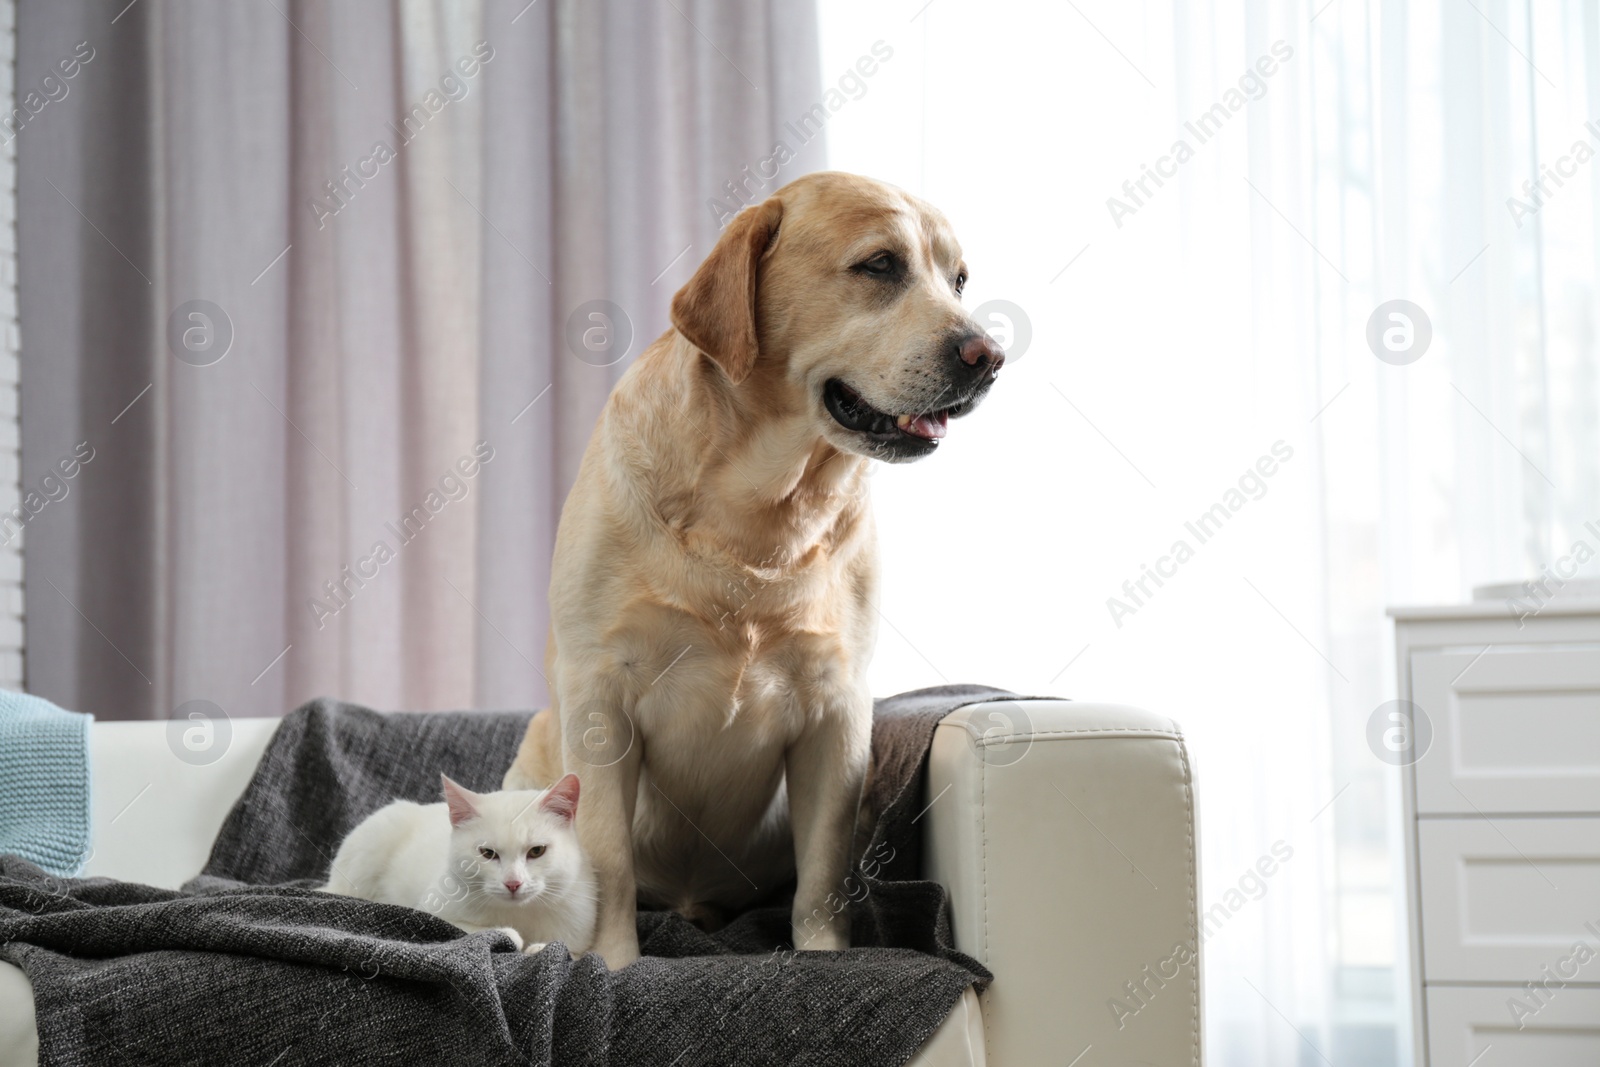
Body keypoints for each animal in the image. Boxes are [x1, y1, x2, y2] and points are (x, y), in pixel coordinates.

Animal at [324, 771, 601, 953]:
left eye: (537, 851)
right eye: (487, 853)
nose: (513, 883)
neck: (520, 912)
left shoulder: (579, 935)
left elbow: (568, 950)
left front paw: (539, 947)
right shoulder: (431, 912)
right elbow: (471, 929)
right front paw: (510, 934)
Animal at [502, 168, 998, 966]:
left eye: (957, 280)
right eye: (880, 264)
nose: (989, 356)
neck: (760, 509)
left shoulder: (837, 711)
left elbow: (822, 872)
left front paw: (823, 957)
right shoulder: (601, 698)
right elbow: (608, 861)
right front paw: (612, 964)